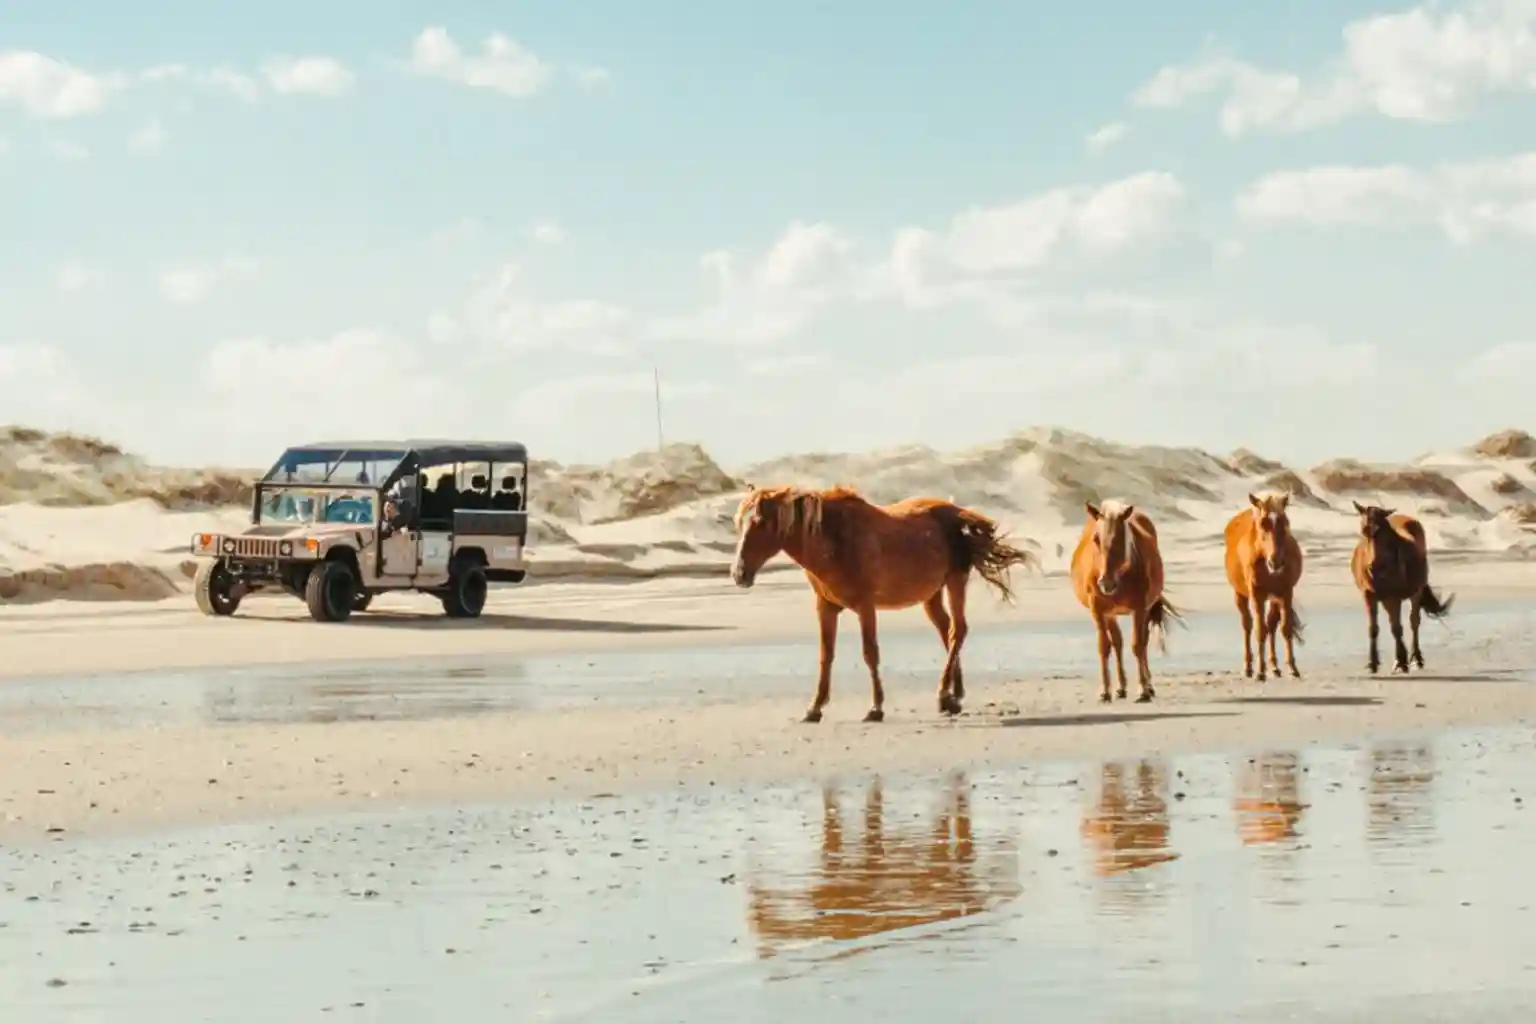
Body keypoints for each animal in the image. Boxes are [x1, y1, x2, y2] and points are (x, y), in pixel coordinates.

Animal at [730, 484, 1039, 723]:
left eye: (759, 522)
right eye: (739, 523)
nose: (739, 574)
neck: (833, 541)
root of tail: (957, 512)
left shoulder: (865, 607)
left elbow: (870, 653)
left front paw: (876, 708)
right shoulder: (825, 607)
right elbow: (826, 655)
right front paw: (814, 709)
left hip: (955, 581)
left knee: (957, 631)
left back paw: (944, 695)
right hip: (931, 595)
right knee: (947, 631)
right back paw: (954, 696)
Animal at [1069, 501, 1183, 703]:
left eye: (1120, 538)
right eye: (1096, 539)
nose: (1106, 583)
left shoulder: (1139, 608)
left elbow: (1137, 645)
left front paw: (1143, 689)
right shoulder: (1098, 609)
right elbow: (1104, 646)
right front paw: (1105, 691)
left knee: (1142, 642)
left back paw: (1147, 686)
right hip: (1110, 613)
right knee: (1117, 641)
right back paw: (1121, 687)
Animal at [1222, 492, 1306, 680]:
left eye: (1285, 522)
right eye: (1262, 523)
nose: (1276, 562)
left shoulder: (1285, 592)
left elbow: (1284, 628)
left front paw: (1292, 668)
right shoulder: (1257, 595)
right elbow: (1260, 630)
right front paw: (1260, 671)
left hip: (1274, 597)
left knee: (1271, 625)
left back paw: (1274, 667)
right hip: (1240, 595)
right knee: (1247, 625)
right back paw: (1248, 667)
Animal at [1349, 501, 1454, 674]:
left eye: (1382, 531)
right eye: (1364, 529)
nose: (1373, 566)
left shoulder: (1393, 597)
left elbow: (1396, 628)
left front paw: (1401, 662)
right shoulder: (1369, 595)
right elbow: (1374, 628)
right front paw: (1373, 663)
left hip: (1416, 592)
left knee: (1413, 622)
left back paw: (1416, 658)